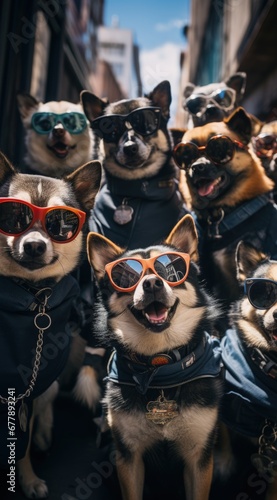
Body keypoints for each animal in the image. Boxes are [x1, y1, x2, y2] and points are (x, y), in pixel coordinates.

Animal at [0, 151, 100, 496]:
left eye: (60, 223)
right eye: (13, 216)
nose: (34, 245)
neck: (30, 294)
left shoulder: (24, 391)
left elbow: (22, 444)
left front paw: (28, 480)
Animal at [86, 214, 222, 500]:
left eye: (170, 269)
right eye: (125, 276)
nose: (151, 283)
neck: (161, 366)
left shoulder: (199, 459)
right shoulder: (129, 458)